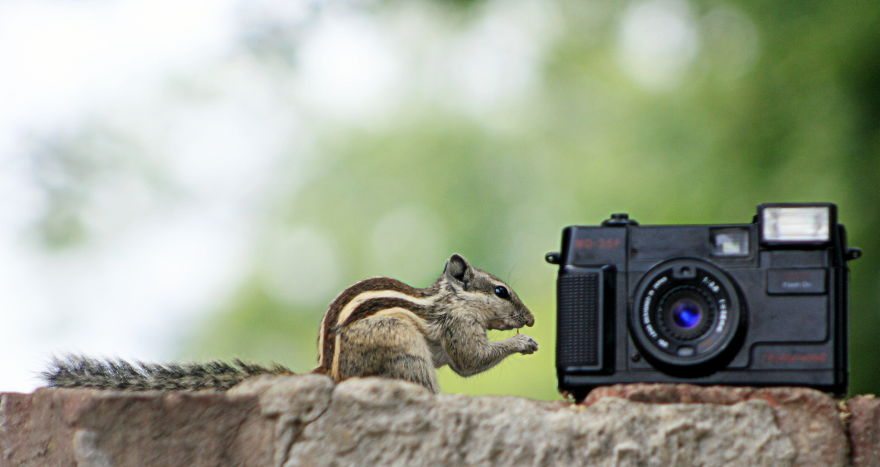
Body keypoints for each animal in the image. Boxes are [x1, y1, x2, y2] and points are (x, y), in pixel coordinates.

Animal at [44, 254, 537, 393]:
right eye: (501, 292)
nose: (531, 317)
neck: (449, 298)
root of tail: (326, 369)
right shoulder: (458, 326)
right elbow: (470, 361)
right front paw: (525, 343)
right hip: (402, 348)